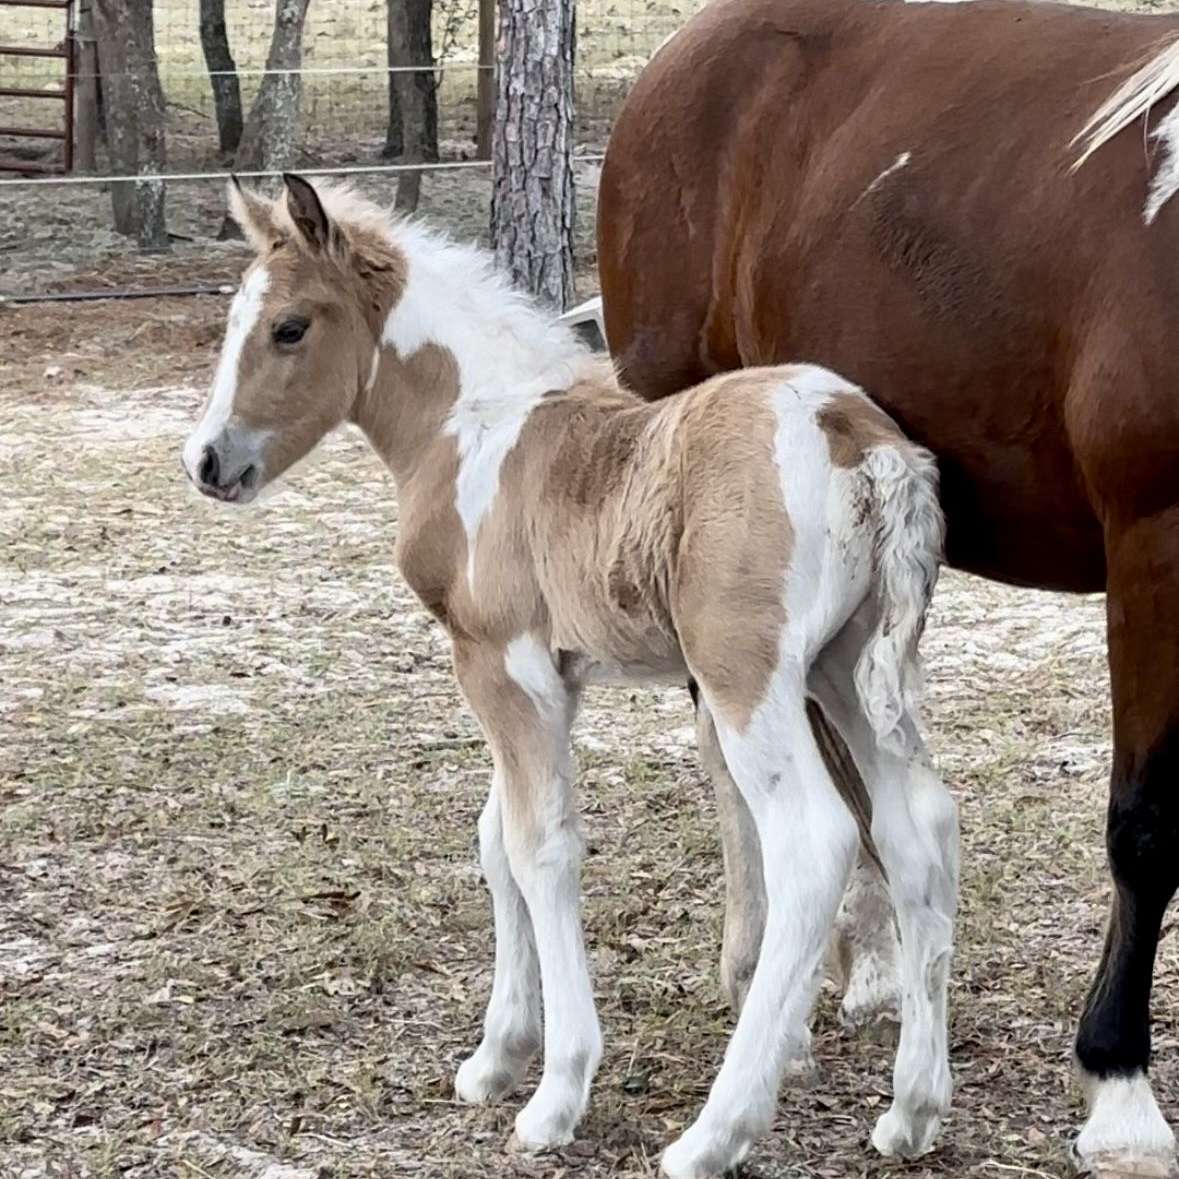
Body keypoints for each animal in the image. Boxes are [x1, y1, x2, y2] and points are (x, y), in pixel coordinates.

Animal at [183, 174, 957, 1179]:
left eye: (288, 327)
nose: (208, 462)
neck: (472, 428)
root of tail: (858, 440)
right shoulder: (548, 677)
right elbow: (494, 838)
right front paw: (494, 1055)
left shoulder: (500, 662)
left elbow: (539, 847)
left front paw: (554, 1092)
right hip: (847, 670)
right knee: (917, 828)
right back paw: (911, 1111)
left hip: (748, 676)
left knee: (813, 840)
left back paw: (713, 1133)